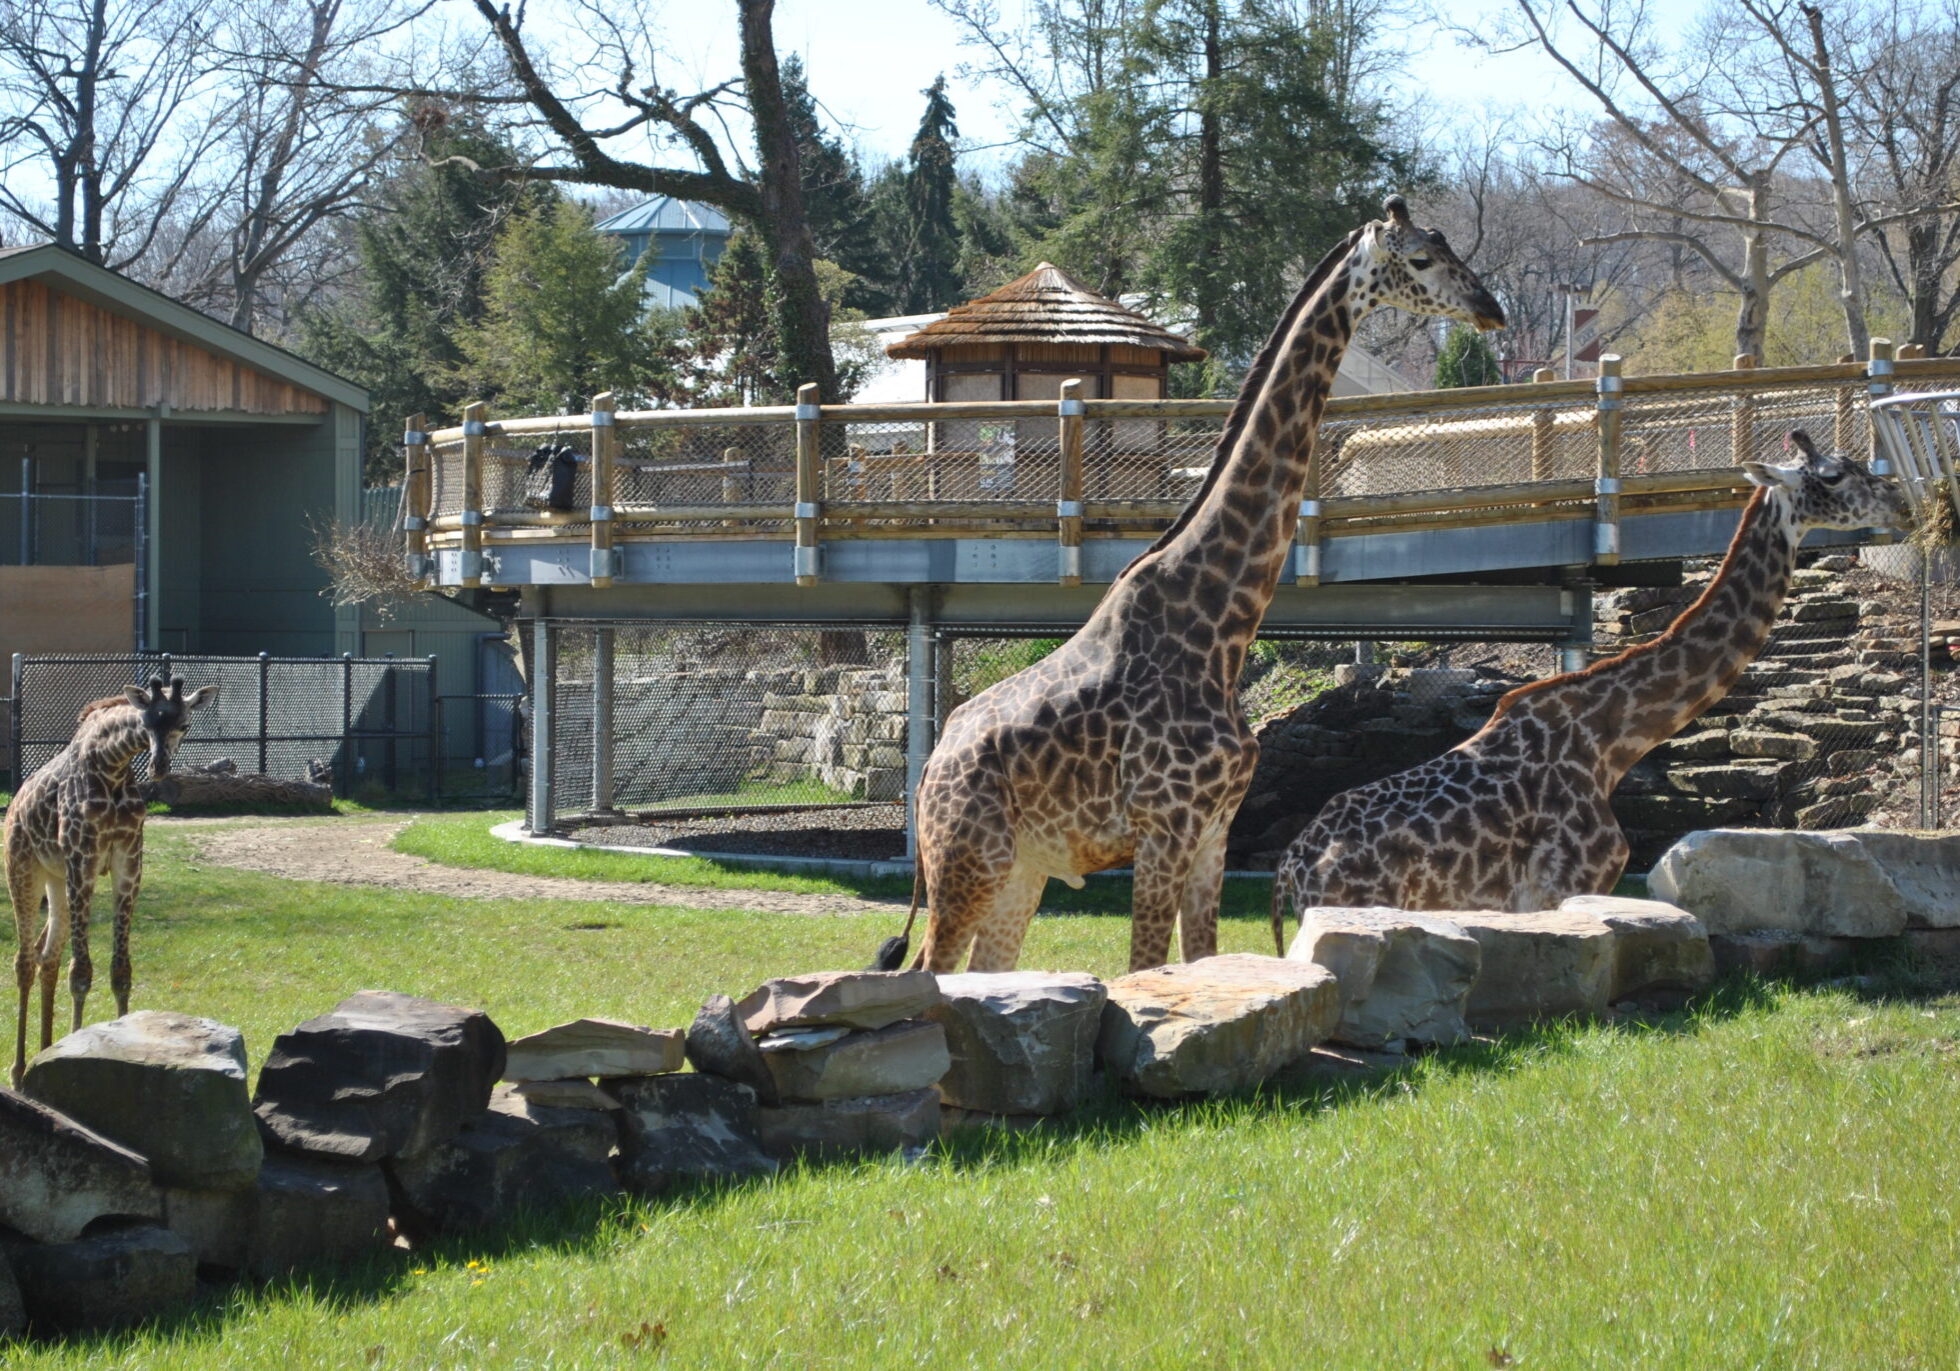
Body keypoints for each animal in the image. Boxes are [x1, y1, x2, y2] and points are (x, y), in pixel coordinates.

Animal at [7, 674, 217, 1082]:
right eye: (147, 723)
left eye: (183, 724)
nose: (159, 767)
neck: (113, 766)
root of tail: (13, 805)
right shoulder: (83, 860)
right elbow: (81, 971)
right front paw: (73, 1049)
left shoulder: (129, 863)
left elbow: (120, 970)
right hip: (23, 870)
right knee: (24, 960)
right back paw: (20, 1069)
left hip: (56, 881)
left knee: (46, 956)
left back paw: (43, 1052)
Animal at [885, 201, 1497, 976]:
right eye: (1419, 259)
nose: (1490, 309)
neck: (1221, 627)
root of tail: (928, 770)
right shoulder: (1165, 828)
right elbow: (1144, 971)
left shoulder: (1214, 832)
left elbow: (1203, 963)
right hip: (967, 862)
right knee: (928, 972)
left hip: (1021, 872)